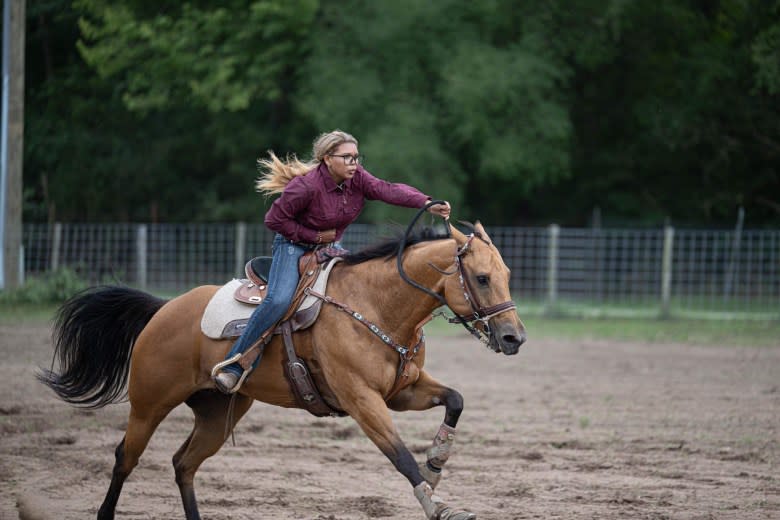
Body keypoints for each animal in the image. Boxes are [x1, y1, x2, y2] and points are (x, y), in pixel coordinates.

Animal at [39, 207, 528, 520]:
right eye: (481, 278)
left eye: (507, 274)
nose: (514, 337)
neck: (375, 304)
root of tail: (163, 309)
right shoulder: (362, 400)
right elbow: (400, 456)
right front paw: (440, 506)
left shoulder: (402, 391)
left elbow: (456, 400)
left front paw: (436, 464)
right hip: (148, 404)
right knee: (125, 458)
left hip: (217, 411)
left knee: (184, 464)